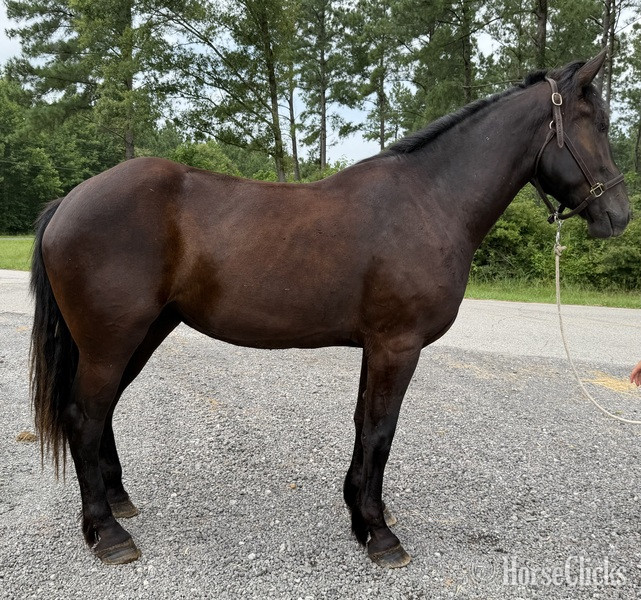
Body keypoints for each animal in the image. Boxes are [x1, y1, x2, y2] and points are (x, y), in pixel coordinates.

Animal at [30, 50, 629, 568]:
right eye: (597, 124)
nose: (619, 216)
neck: (430, 200)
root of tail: (70, 201)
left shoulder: (377, 346)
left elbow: (364, 424)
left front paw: (362, 513)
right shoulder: (397, 346)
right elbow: (381, 431)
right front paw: (380, 535)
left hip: (142, 333)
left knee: (102, 413)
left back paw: (118, 502)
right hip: (111, 341)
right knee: (84, 416)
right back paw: (107, 533)